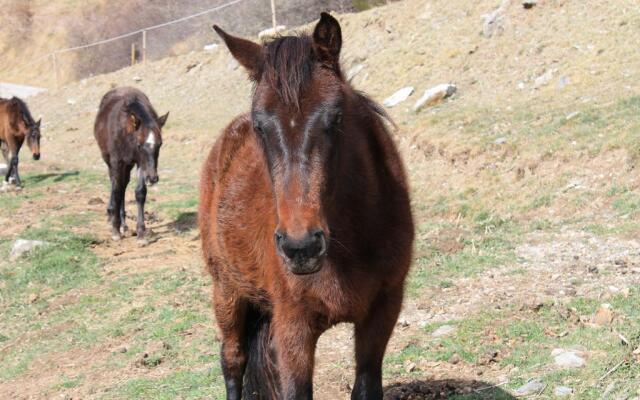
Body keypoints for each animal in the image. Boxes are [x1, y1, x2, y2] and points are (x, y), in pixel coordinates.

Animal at [94, 87, 168, 242]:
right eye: (140, 145)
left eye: (160, 144)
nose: (153, 178)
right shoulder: (117, 161)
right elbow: (116, 190)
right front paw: (115, 230)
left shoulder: (140, 162)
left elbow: (140, 192)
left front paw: (140, 233)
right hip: (110, 161)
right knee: (116, 185)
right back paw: (113, 217)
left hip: (128, 165)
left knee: (123, 185)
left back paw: (123, 223)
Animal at [200, 12, 416, 400]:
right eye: (260, 124)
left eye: (336, 117)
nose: (300, 247)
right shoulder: (294, 328)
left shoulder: (382, 312)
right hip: (227, 292)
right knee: (233, 360)